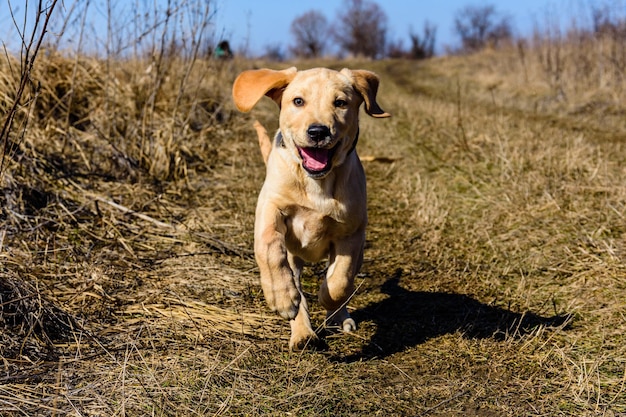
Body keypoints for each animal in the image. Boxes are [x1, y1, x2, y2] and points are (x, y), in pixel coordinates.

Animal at [232, 67, 388, 348]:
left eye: (340, 103)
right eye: (298, 101)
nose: (318, 132)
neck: (316, 182)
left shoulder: (351, 233)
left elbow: (341, 279)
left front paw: (329, 300)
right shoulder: (271, 208)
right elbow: (268, 247)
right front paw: (281, 298)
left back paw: (338, 316)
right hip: (293, 259)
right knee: (298, 292)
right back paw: (302, 333)